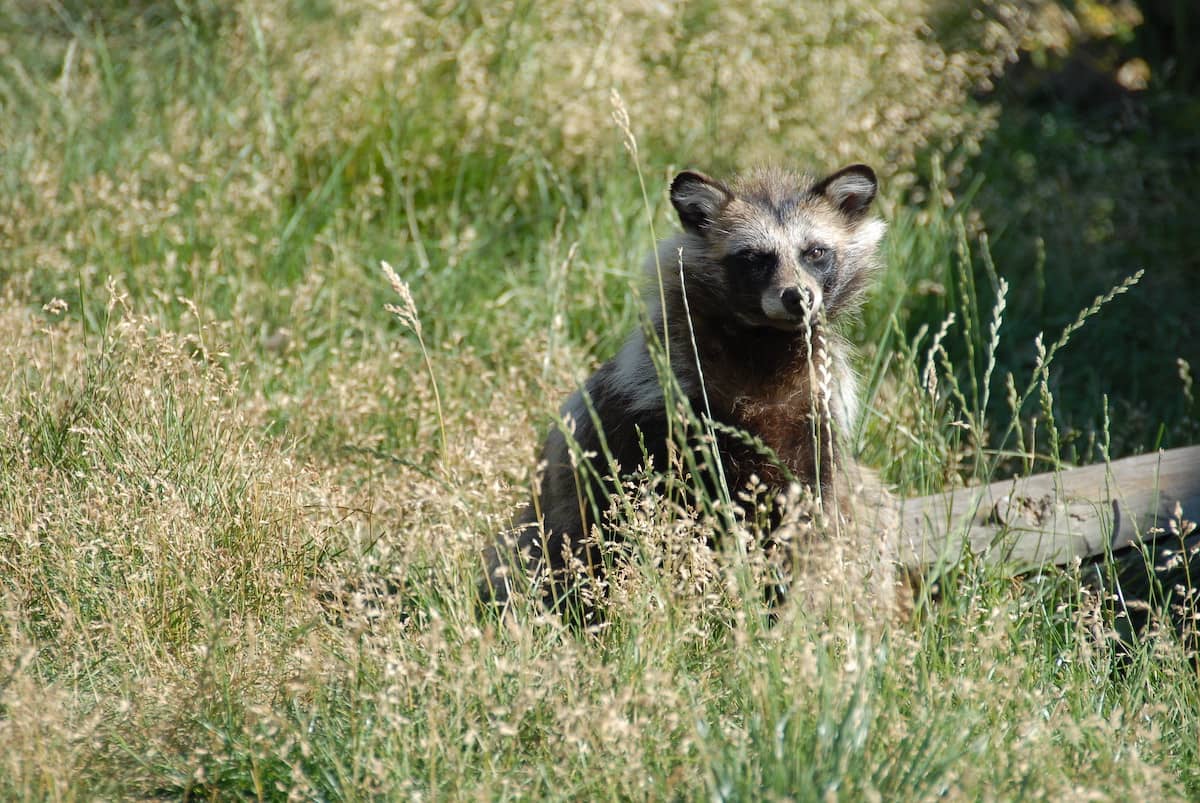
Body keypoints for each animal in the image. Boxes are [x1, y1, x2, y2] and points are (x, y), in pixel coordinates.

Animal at [480, 165, 892, 624]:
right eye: (754, 259)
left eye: (816, 252)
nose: (798, 297)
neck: (766, 345)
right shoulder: (668, 401)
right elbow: (664, 507)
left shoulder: (813, 415)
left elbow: (804, 513)